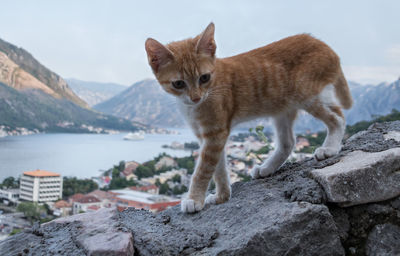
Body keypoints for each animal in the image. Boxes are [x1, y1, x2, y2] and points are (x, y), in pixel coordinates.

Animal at [145, 23, 352, 213]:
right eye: (178, 84)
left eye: (204, 78)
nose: (196, 98)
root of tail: (323, 44)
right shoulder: (208, 136)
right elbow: (218, 168)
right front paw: (222, 196)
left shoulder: (215, 132)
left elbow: (204, 169)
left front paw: (194, 199)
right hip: (283, 108)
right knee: (288, 142)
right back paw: (268, 168)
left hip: (306, 94)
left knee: (338, 117)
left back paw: (330, 148)